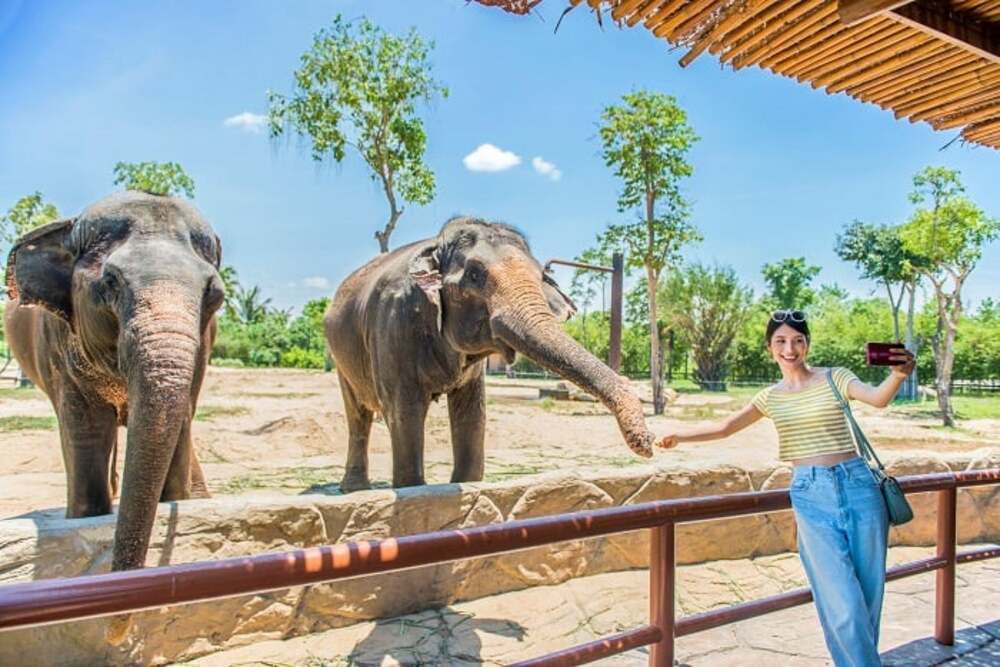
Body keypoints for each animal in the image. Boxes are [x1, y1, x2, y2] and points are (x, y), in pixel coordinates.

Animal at [2, 190, 223, 580]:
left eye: (215, 295)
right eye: (110, 283)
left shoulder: (203, 347)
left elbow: (181, 420)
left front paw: (179, 498)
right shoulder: (58, 348)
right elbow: (86, 430)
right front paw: (89, 513)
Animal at [324, 217, 660, 494]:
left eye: (541, 276)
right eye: (474, 275)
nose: (648, 443)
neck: (436, 245)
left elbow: (472, 414)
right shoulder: (394, 326)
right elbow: (405, 413)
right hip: (341, 355)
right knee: (357, 414)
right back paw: (354, 489)